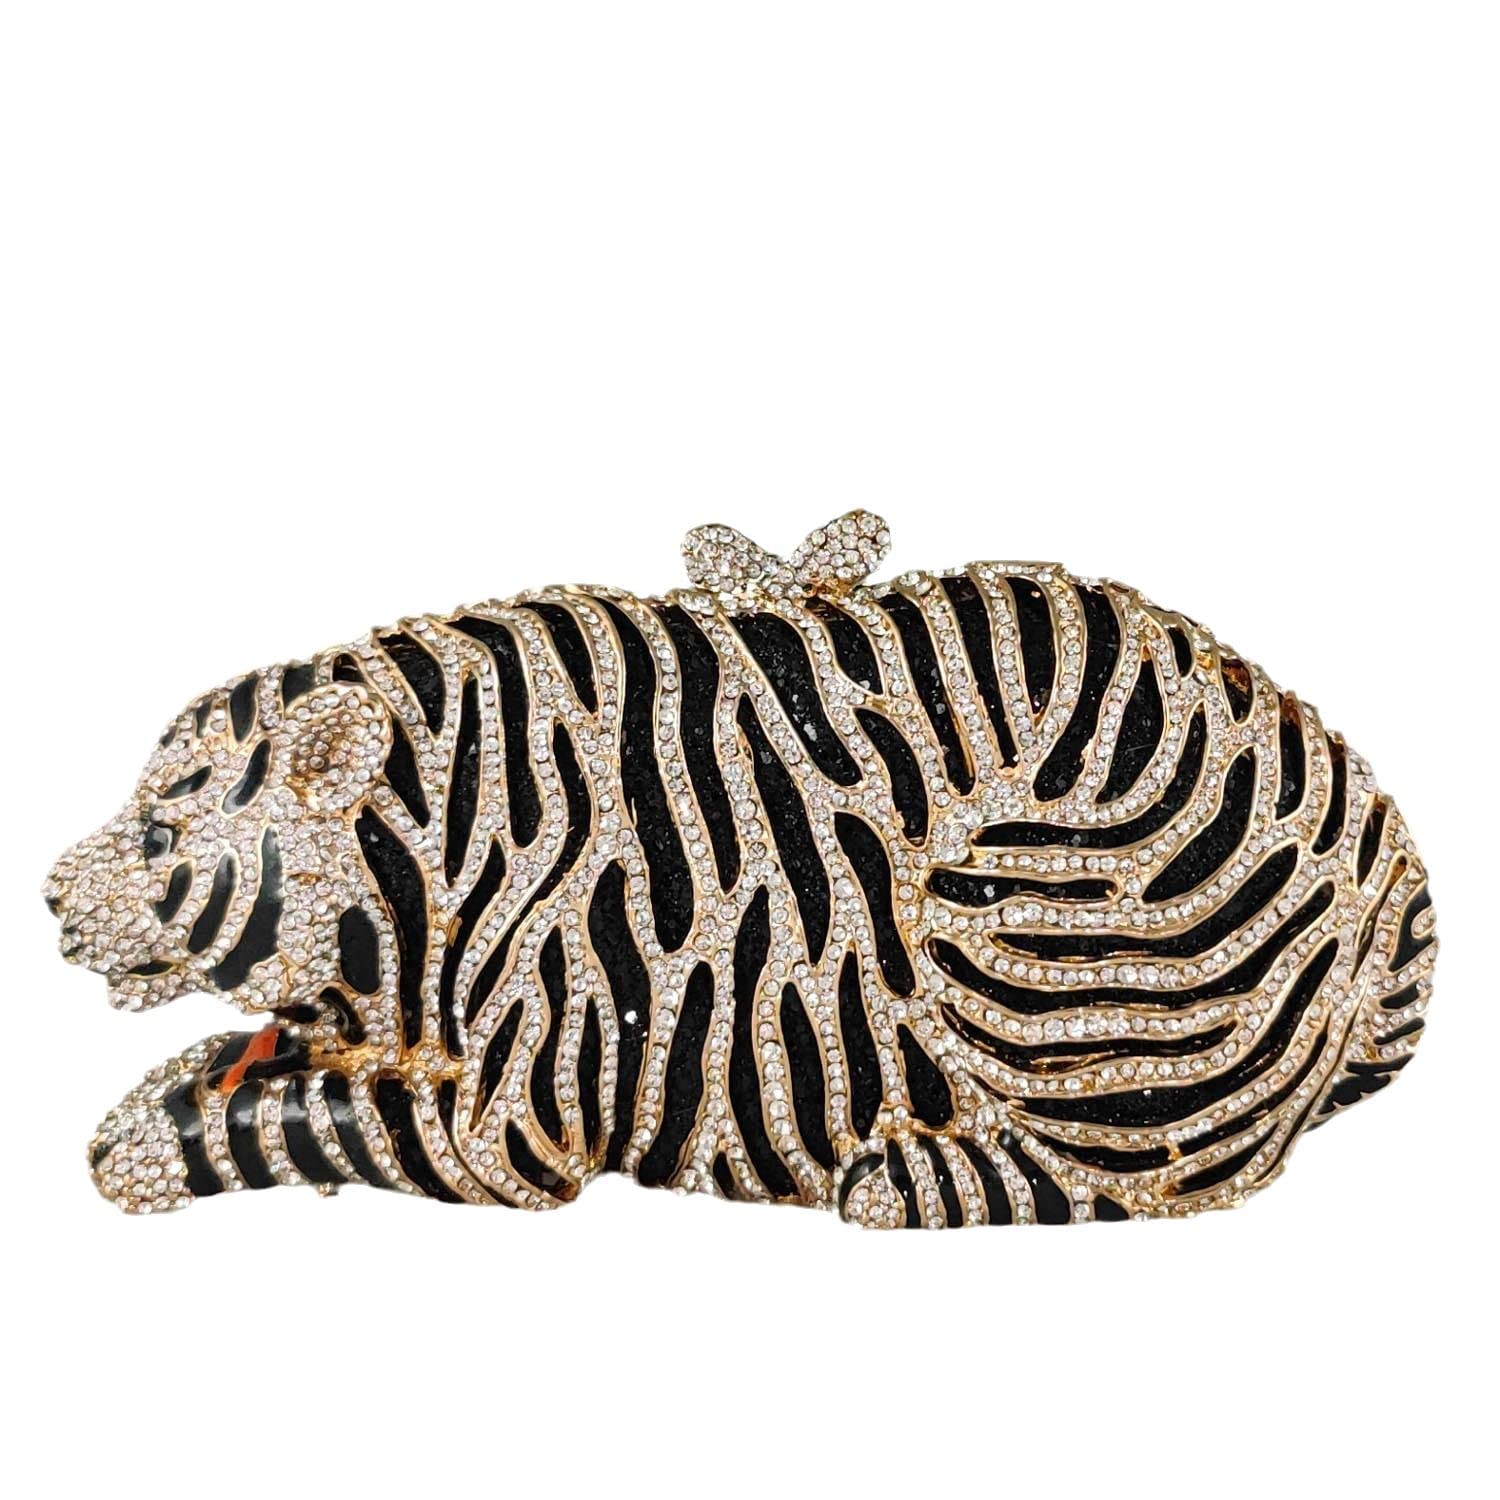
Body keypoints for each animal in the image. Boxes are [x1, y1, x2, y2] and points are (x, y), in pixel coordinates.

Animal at [45, 511, 1437, 1226]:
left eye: (162, 835)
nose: (54, 895)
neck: (430, 857)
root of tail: (1399, 873)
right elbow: (245, 1063)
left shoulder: (516, 1122)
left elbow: (298, 1116)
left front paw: (140, 1147)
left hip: (1026, 922)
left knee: (1131, 1166)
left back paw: (900, 1174)